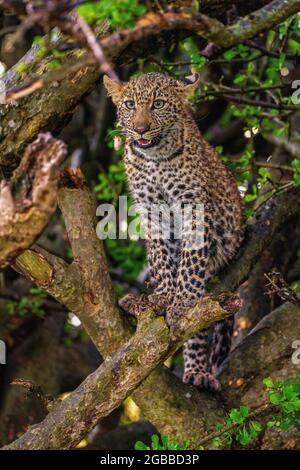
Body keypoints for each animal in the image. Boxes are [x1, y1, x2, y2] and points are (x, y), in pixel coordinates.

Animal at [103, 71, 244, 392]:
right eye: (129, 104)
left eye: (158, 104)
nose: (141, 128)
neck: (155, 158)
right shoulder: (151, 211)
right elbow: (160, 257)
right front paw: (163, 296)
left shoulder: (193, 208)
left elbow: (190, 266)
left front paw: (181, 302)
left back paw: (198, 372)